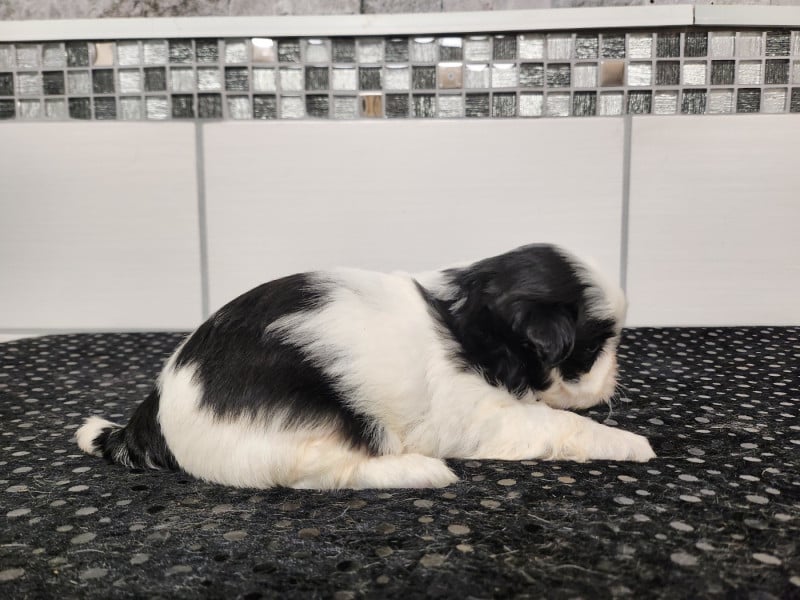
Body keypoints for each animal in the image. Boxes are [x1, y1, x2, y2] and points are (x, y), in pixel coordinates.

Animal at [76, 244, 655, 489]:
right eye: (595, 347)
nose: (616, 373)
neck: (470, 325)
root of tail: (157, 410)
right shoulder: (483, 416)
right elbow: (562, 425)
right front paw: (630, 442)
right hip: (294, 437)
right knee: (329, 474)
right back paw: (422, 472)